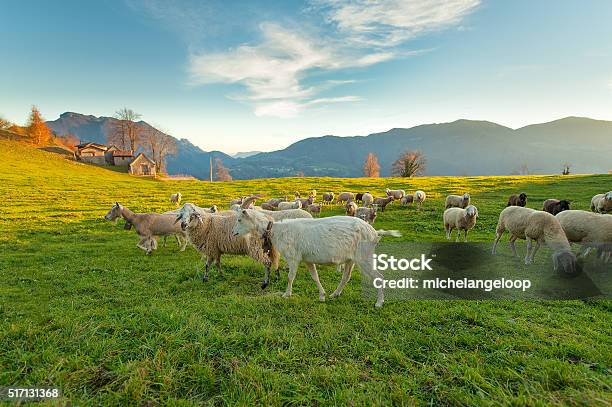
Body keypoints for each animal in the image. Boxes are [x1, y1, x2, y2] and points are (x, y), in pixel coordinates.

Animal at [233, 210, 402, 310]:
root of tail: (374, 233)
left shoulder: (294, 257)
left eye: (240, 219)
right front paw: (322, 296)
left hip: (364, 256)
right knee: (346, 277)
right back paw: (335, 294)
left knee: (379, 277)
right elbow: (315, 277)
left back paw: (379, 302)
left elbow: (290, 277)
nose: (234, 233)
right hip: (351, 259)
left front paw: (286, 294)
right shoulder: (307, 259)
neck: (276, 231)